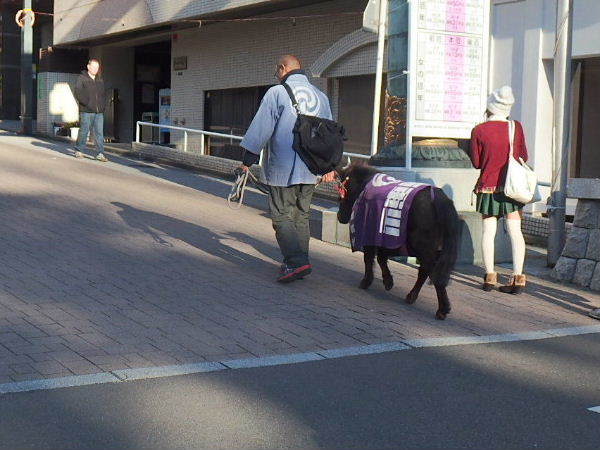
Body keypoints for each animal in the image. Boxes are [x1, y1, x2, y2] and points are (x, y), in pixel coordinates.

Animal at [338, 163, 460, 318]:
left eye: (341, 196)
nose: (339, 216)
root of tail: (439, 199)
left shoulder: (371, 236)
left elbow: (369, 259)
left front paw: (368, 281)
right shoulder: (386, 239)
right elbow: (381, 258)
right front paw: (387, 280)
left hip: (423, 247)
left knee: (432, 272)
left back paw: (442, 308)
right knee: (426, 271)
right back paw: (412, 296)